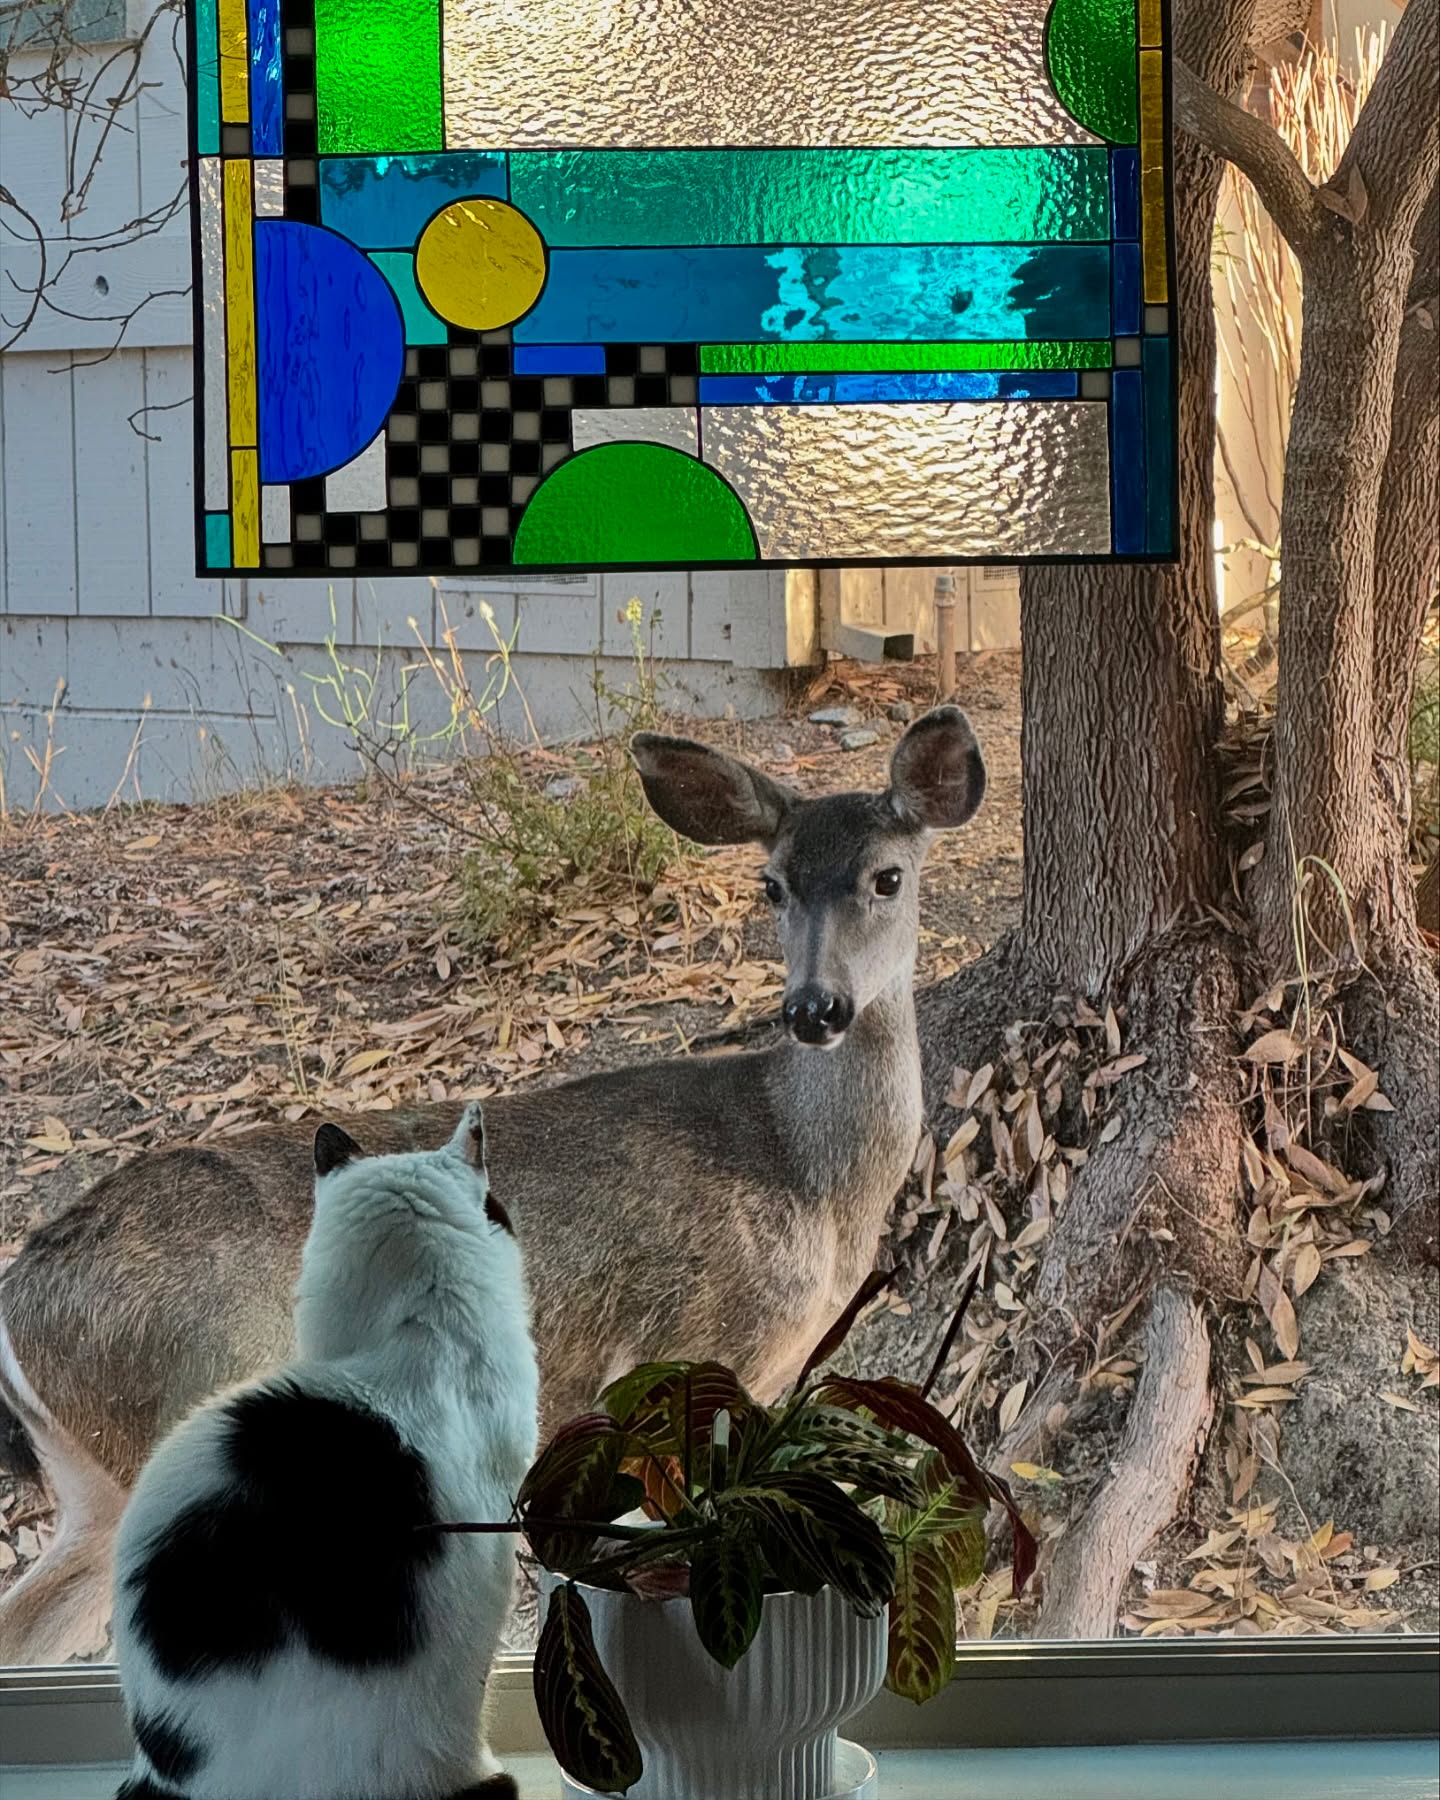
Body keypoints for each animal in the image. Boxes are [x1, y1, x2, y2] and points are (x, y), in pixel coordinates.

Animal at [0, 706, 985, 1665]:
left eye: (888, 877)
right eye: (772, 884)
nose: (814, 1008)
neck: (806, 1173)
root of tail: (22, 1300)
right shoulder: (689, 1345)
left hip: (98, 1477)